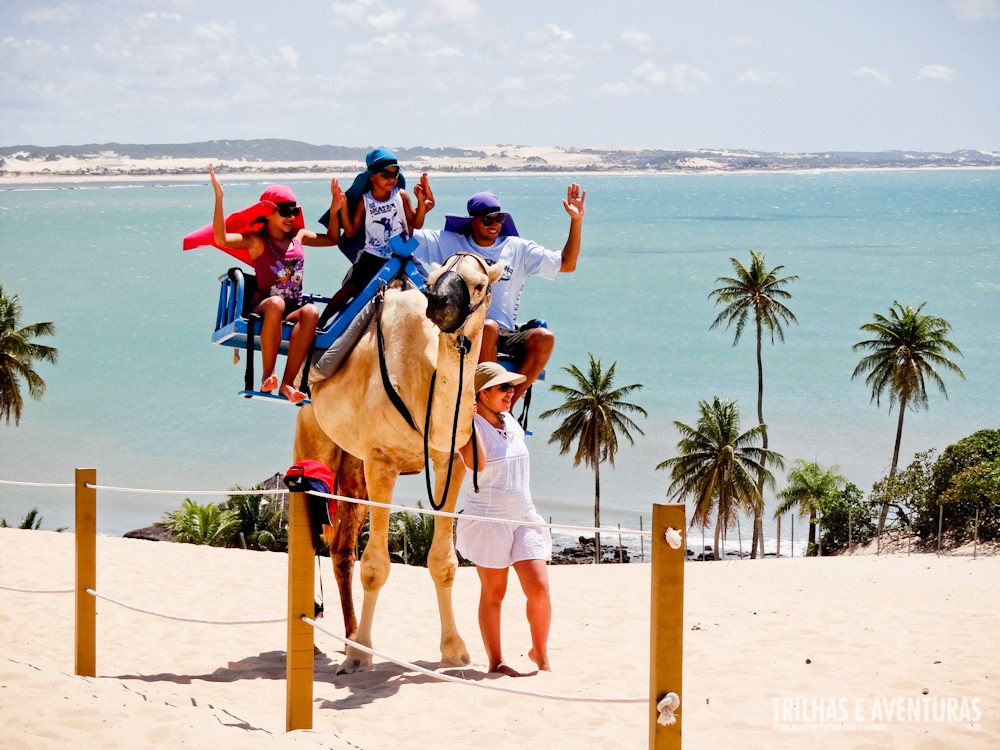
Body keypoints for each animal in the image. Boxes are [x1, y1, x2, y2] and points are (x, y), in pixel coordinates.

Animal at [292, 253, 504, 676]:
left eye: (478, 284)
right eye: (434, 279)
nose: (438, 304)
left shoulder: (450, 462)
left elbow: (443, 562)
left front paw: (454, 651)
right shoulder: (381, 463)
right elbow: (376, 565)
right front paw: (361, 656)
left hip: (354, 467)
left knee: (342, 550)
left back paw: (349, 636)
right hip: (314, 437)